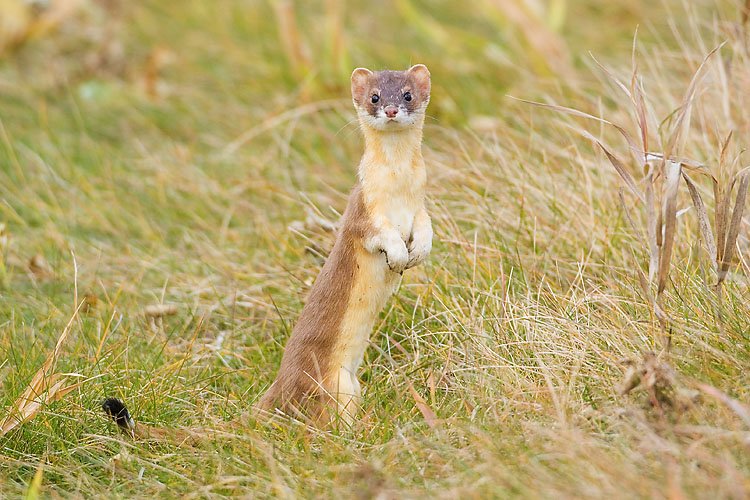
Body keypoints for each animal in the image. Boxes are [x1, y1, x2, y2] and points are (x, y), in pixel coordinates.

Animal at [258, 63, 434, 426]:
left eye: (408, 94)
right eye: (375, 97)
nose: (391, 109)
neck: (399, 191)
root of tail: (279, 385)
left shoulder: (420, 207)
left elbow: (426, 227)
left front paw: (418, 251)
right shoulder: (362, 213)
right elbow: (379, 235)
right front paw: (398, 256)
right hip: (336, 386)